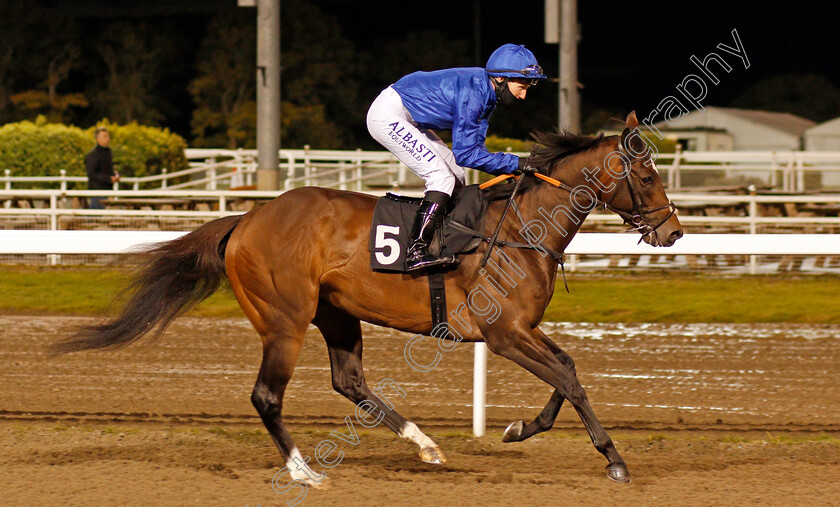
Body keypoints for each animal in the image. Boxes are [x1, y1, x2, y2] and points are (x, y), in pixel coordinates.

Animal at [50, 113, 684, 486]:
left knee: (350, 382)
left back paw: (425, 445)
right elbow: (570, 379)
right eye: (647, 176)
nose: (674, 231)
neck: (520, 227)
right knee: (266, 396)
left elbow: (566, 372)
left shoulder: (521, 329)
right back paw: (305, 472)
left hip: (335, 314)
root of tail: (247, 218)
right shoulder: (505, 334)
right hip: (285, 320)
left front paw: (518, 429)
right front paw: (615, 459)